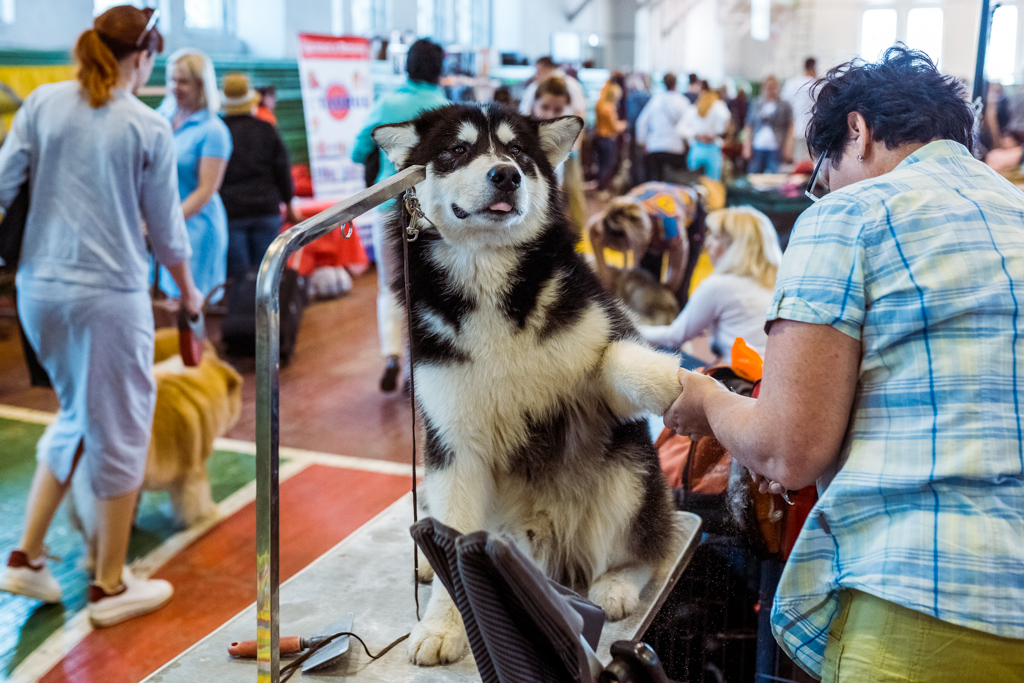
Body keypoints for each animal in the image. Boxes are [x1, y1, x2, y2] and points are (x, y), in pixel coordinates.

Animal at [372, 107, 684, 667]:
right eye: (456, 150)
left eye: (517, 152)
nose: (506, 175)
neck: (488, 275)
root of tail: (548, 546)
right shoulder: (453, 442)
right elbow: (452, 540)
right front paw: (442, 626)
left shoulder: (599, 367)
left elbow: (616, 358)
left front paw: (676, 381)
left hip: (628, 474)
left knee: (651, 546)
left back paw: (617, 583)